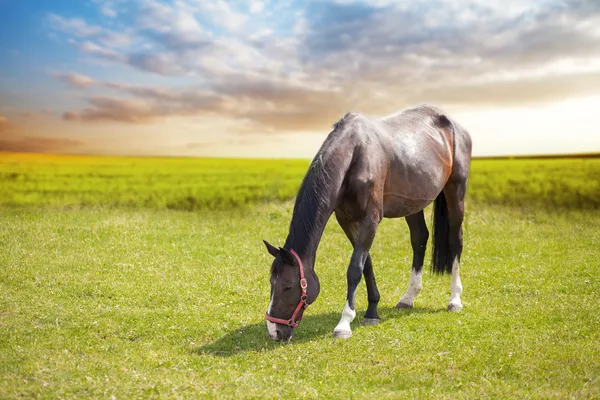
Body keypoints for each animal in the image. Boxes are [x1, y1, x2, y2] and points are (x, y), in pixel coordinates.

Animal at [264, 104, 472, 340]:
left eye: (288, 287)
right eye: (271, 284)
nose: (274, 331)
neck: (355, 154)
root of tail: (454, 125)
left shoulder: (371, 219)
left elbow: (355, 268)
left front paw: (344, 323)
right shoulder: (346, 219)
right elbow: (366, 263)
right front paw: (372, 311)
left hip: (456, 191)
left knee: (455, 240)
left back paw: (454, 299)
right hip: (413, 203)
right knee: (419, 239)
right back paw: (408, 298)